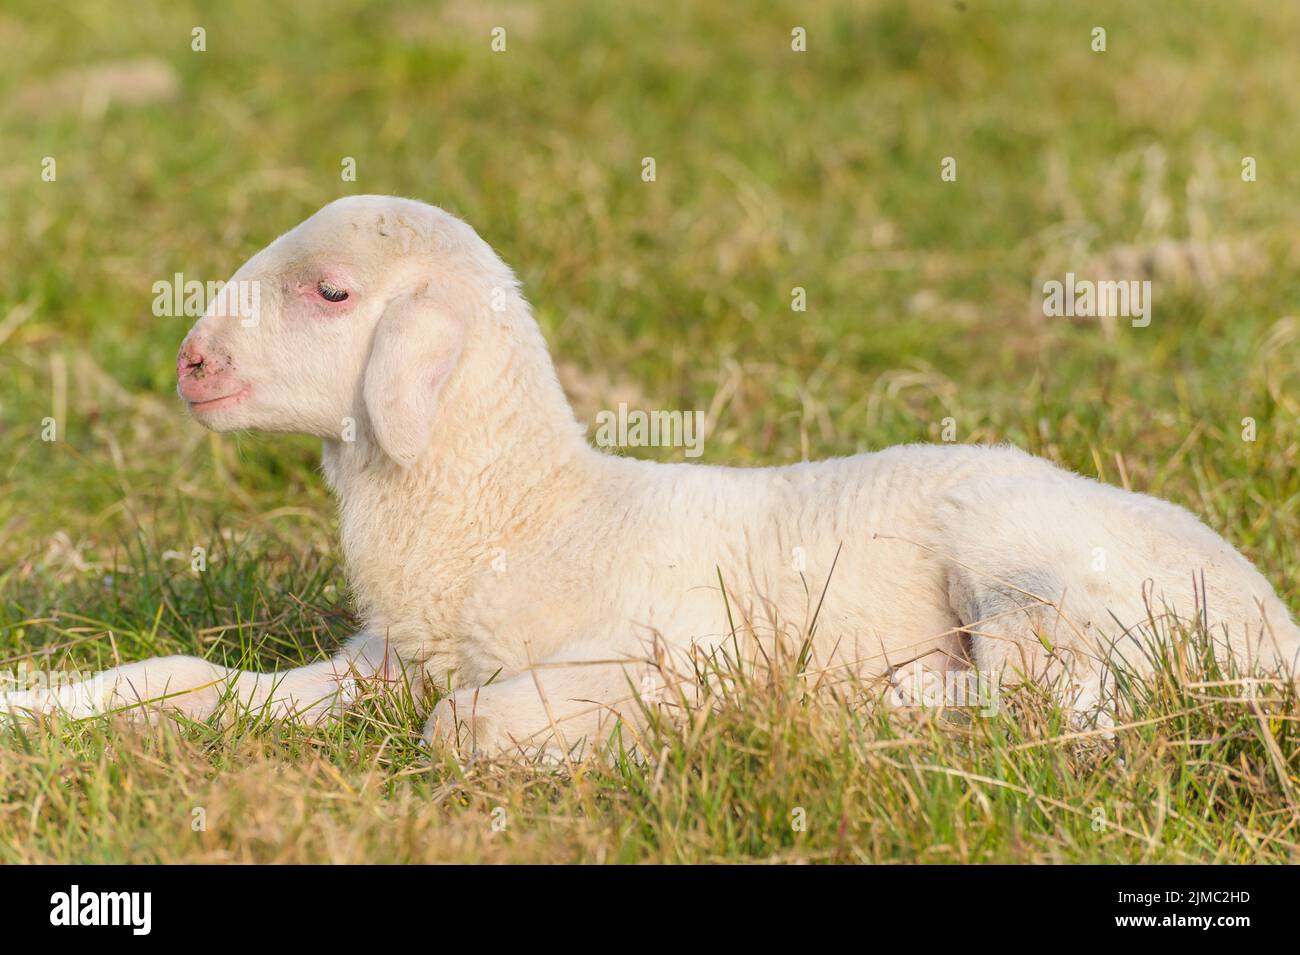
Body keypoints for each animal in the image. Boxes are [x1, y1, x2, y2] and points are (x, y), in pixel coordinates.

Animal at [5, 196, 1294, 764]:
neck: (528, 514)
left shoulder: (653, 643)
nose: (191, 362)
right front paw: (35, 703)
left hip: (1033, 559)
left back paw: (843, 706)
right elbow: (183, 680)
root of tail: (1271, 626)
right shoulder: (383, 661)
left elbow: (461, 727)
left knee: (1061, 701)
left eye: (330, 293)